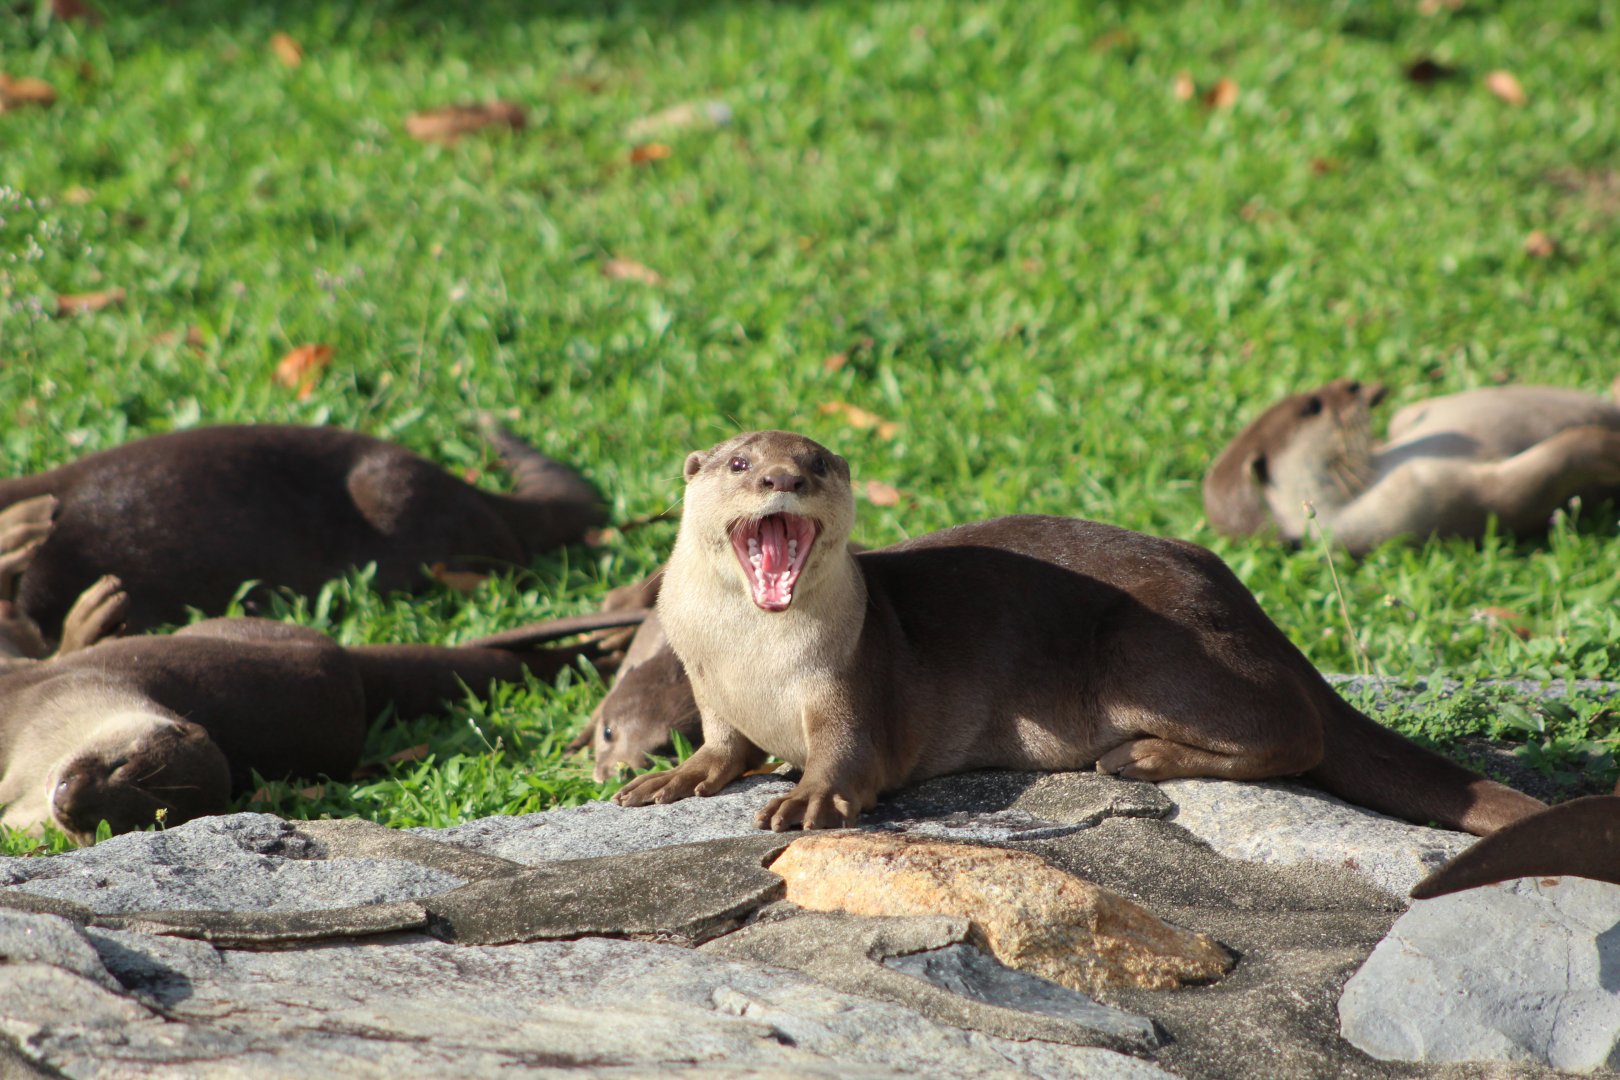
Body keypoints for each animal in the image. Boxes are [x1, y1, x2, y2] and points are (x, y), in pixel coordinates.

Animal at [614, 430, 1544, 835]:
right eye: (741, 462)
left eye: (817, 466)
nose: (784, 478)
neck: (756, 665)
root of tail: (1243, 600)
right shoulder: (707, 683)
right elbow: (723, 746)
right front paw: (672, 778)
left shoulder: (850, 684)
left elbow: (849, 756)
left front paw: (808, 797)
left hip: (1146, 648)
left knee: (1300, 732)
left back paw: (1140, 757)